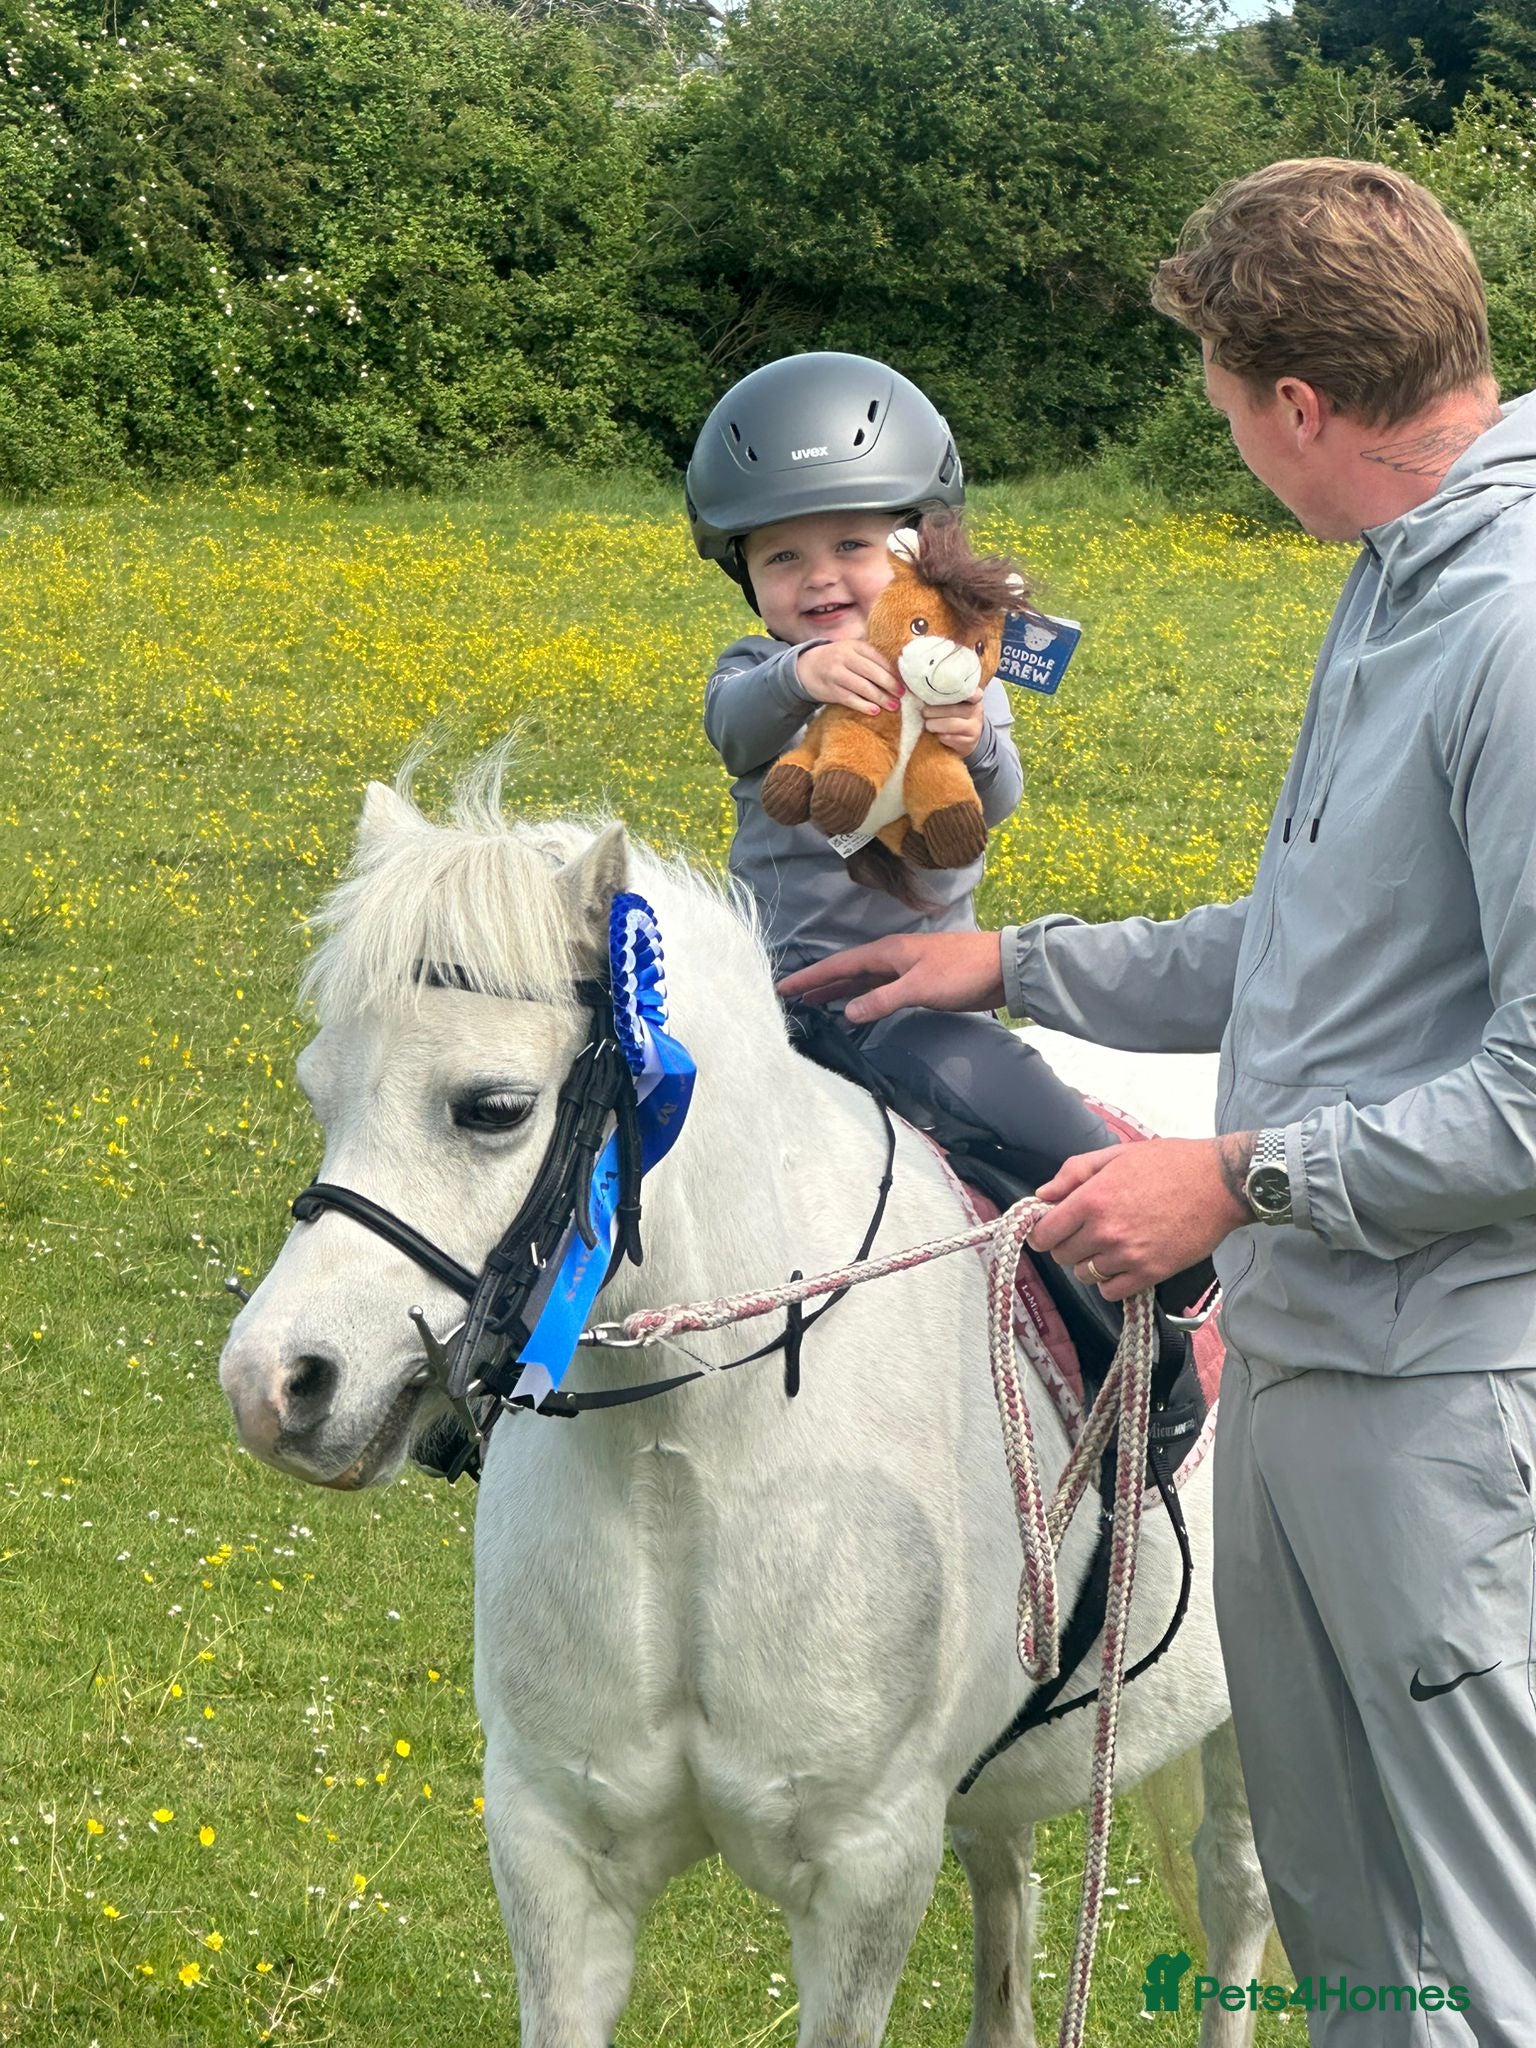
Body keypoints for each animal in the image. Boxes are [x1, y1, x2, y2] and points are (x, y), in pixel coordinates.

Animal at [219, 770, 1272, 2048]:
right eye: (319, 1089)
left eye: (492, 1106)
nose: (275, 1382)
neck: (691, 1468)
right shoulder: (557, 1857)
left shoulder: (864, 1875)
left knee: (1234, 1898)